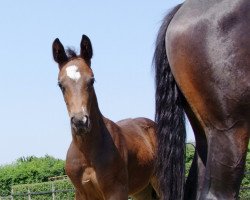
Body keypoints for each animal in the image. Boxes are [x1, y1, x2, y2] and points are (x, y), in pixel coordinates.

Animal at [52, 35, 159, 199]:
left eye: (92, 80)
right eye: (60, 84)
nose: (80, 122)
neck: (87, 153)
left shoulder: (116, 191)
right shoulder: (81, 193)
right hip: (142, 190)